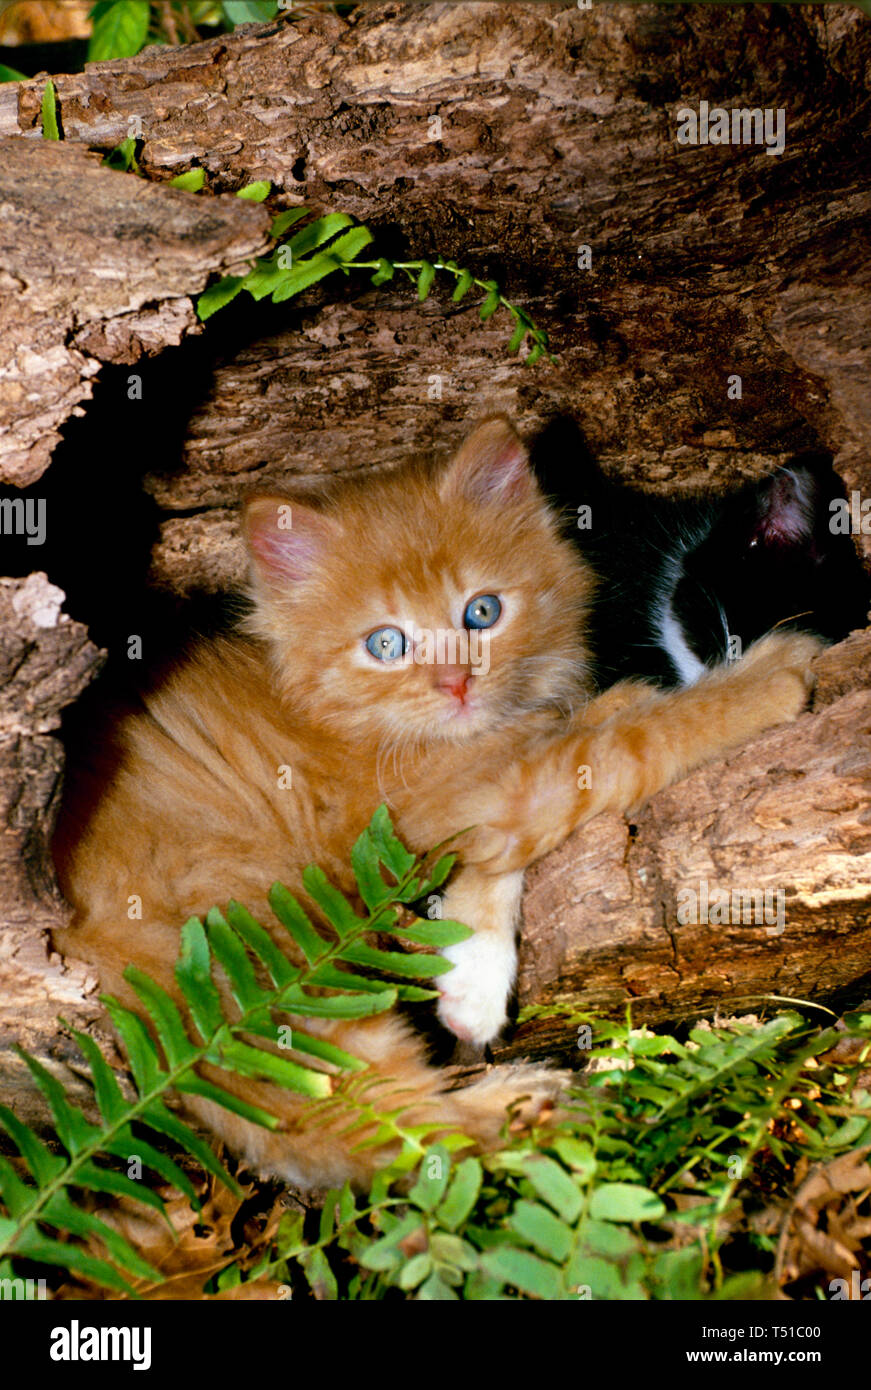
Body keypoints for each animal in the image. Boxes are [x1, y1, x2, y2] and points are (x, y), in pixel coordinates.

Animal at [52, 414, 816, 1184]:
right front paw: (763, 681)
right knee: (354, 1124)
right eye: (386, 643)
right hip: (258, 954)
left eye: (482, 611)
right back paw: (526, 1108)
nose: (456, 684)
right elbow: (629, 743)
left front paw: (470, 981)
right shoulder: (451, 802)